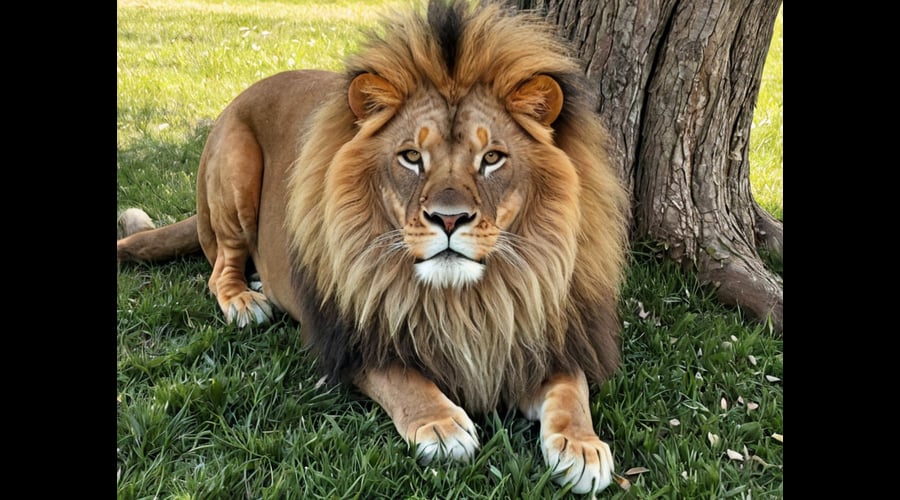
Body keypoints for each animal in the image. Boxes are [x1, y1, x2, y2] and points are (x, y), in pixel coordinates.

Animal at [116, 0, 629, 494]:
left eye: (492, 159)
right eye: (411, 157)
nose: (448, 219)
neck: (469, 299)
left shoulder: (550, 332)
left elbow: (571, 389)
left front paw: (582, 446)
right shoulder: (353, 337)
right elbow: (403, 379)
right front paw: (442, 426)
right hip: (235, 171)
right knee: (219, 265)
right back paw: (244, 300)